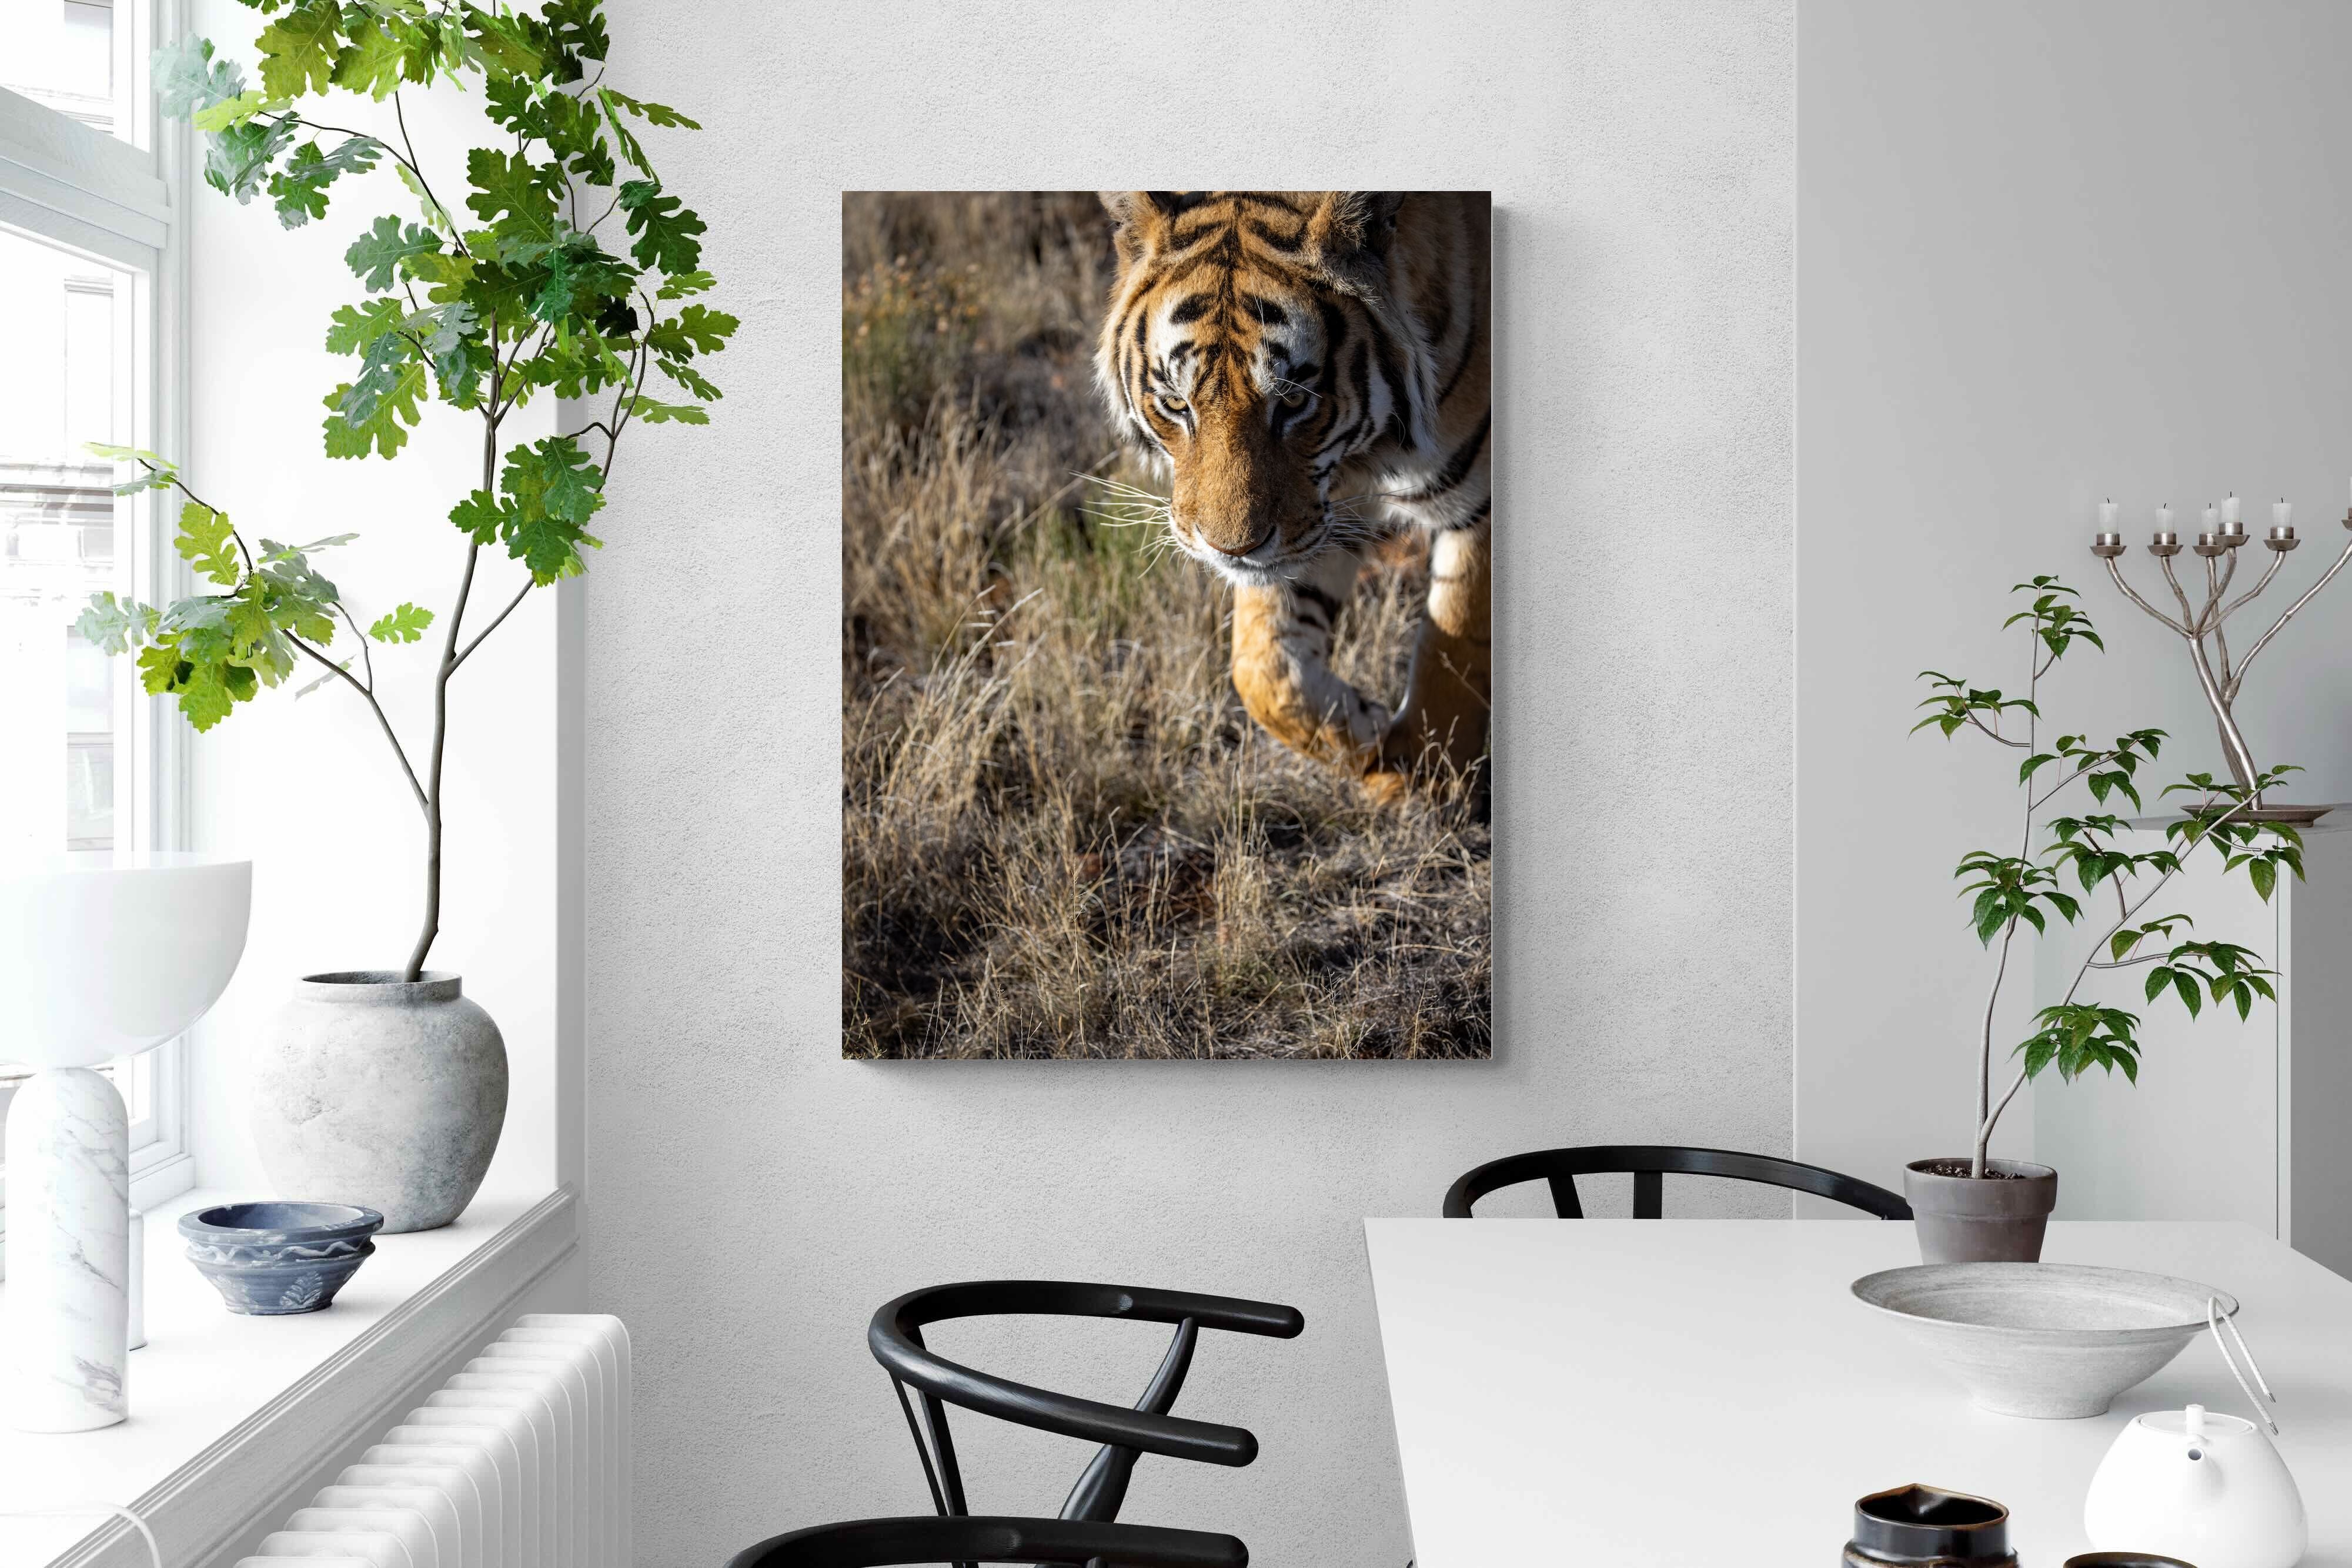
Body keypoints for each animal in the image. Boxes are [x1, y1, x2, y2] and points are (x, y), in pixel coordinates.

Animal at [1094, 190, 1491, 802]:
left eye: (1296, 401)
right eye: (1177, 404)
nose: (1230, 550)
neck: (1369, 454)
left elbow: (1455, 647)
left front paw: (1424, 777)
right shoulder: (1320, 516)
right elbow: (1263, 669)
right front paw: (1368, 731)